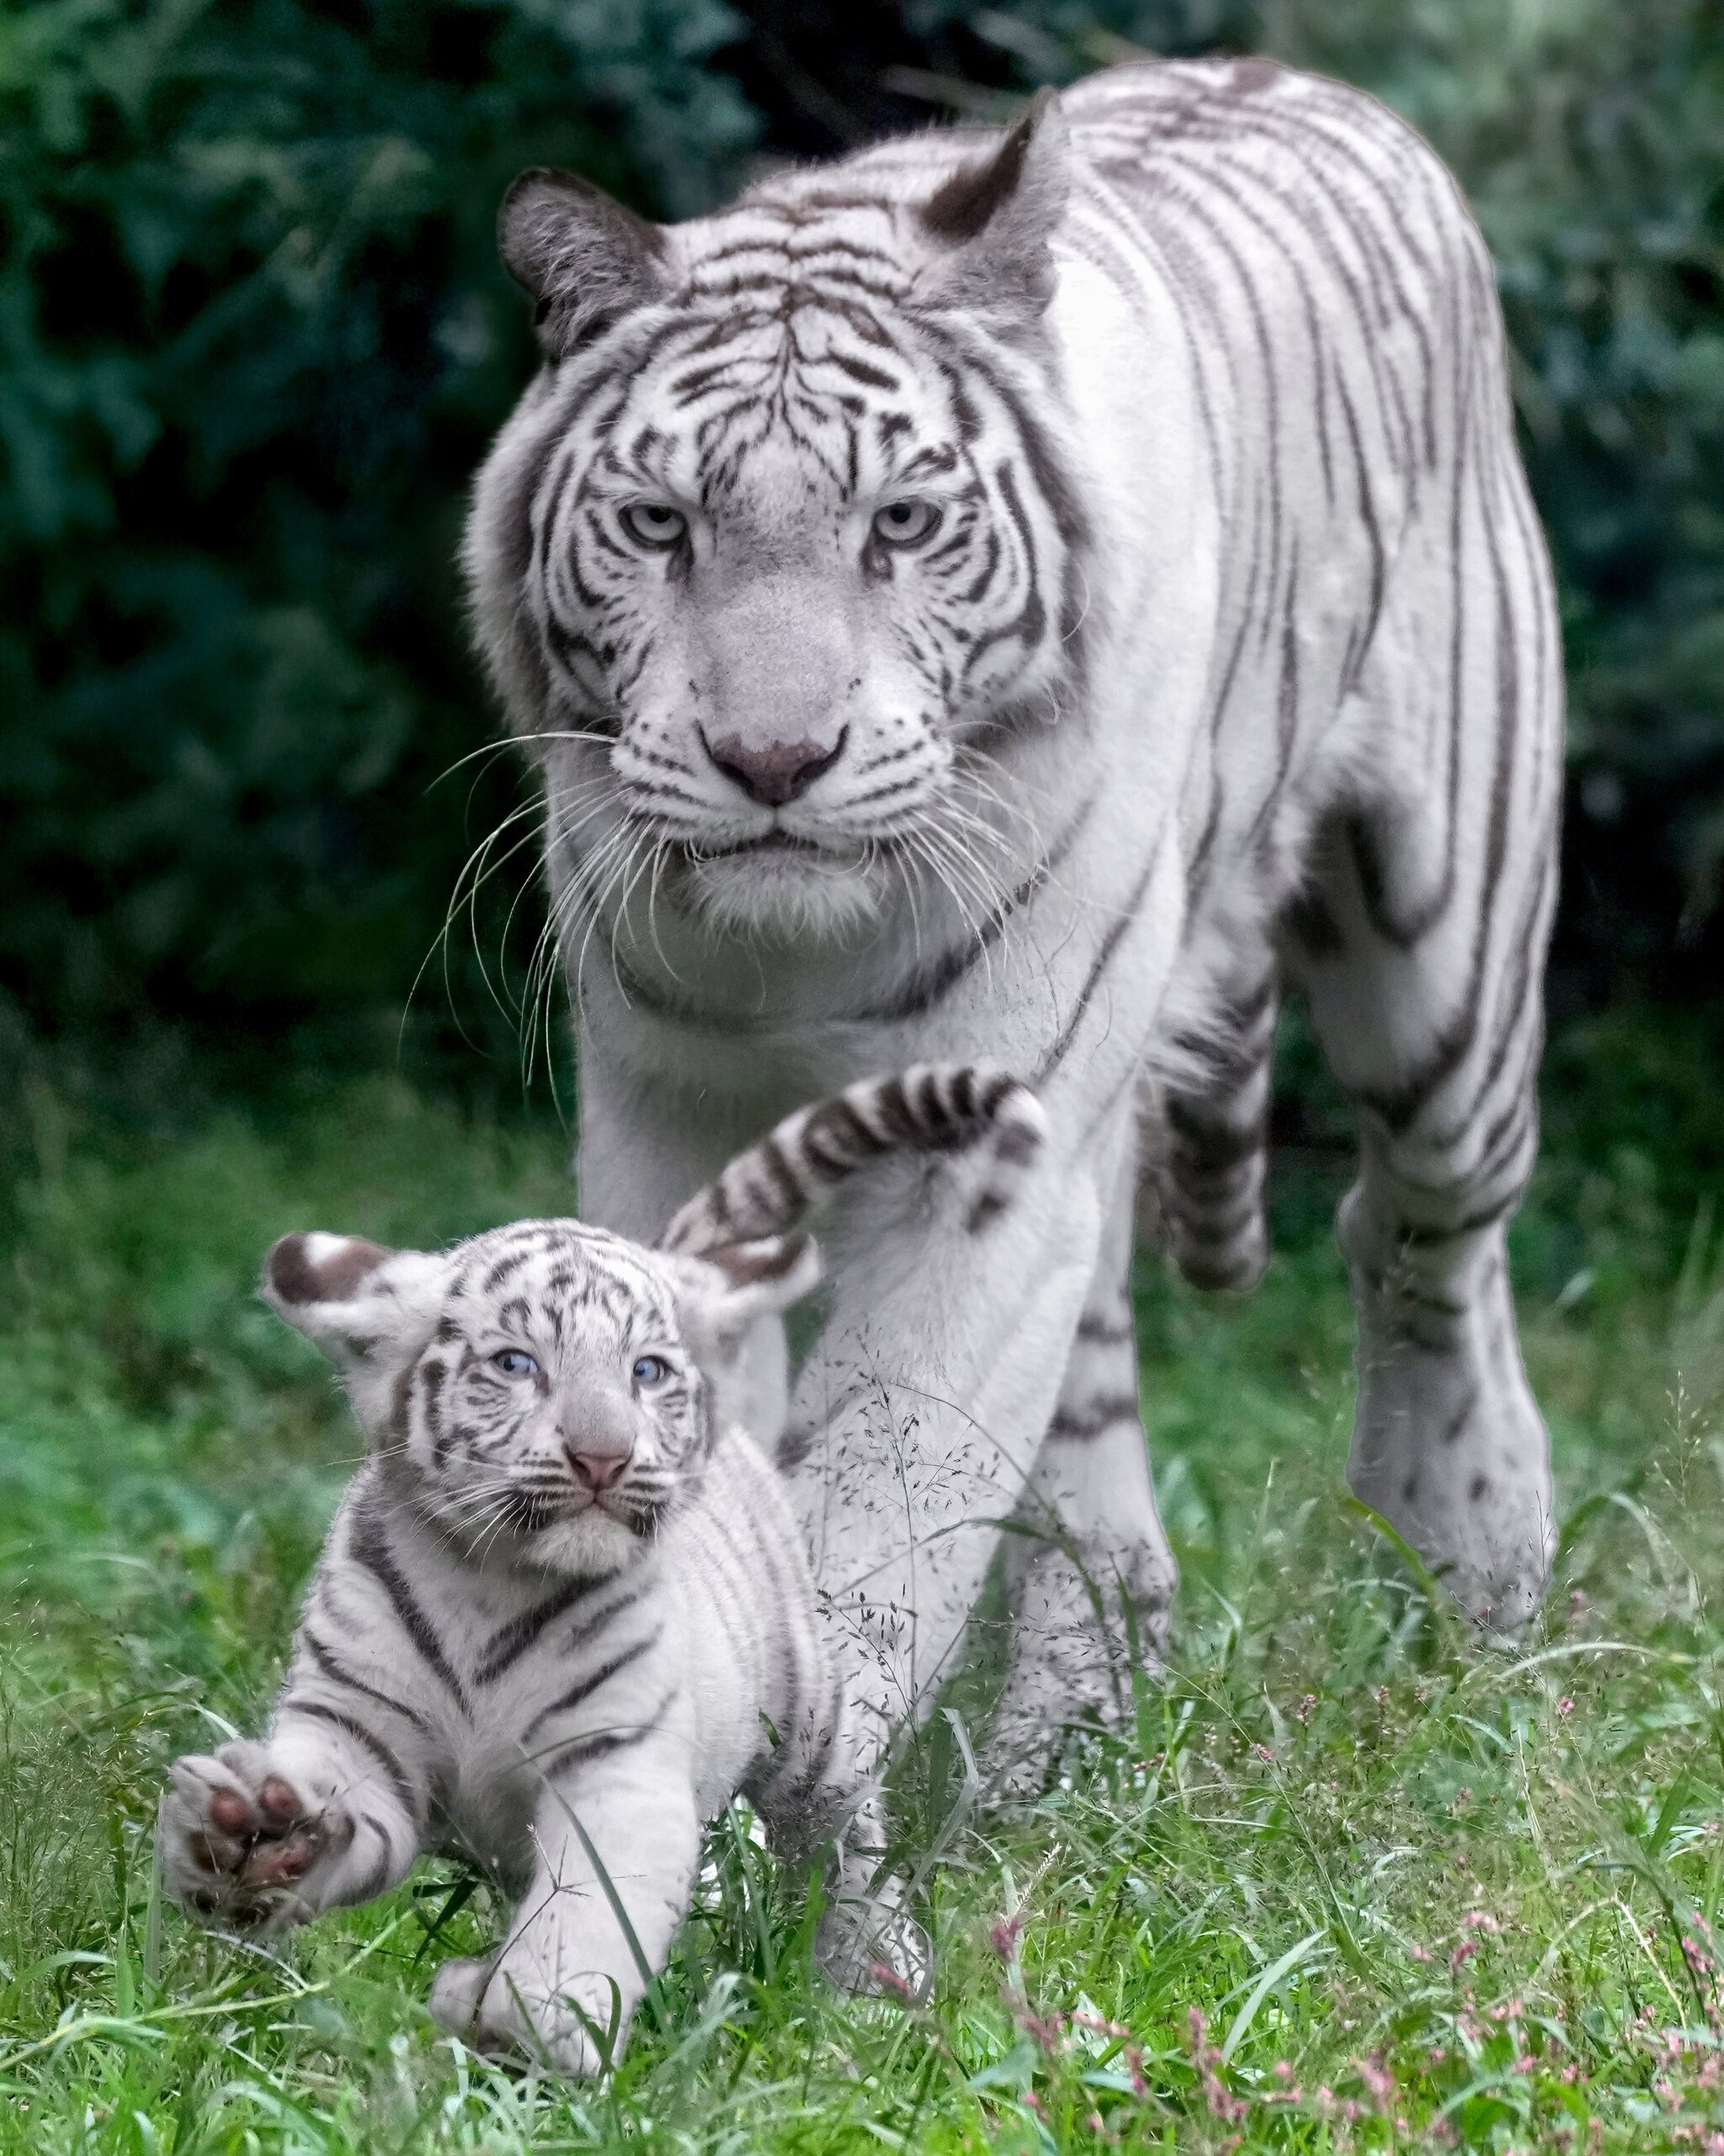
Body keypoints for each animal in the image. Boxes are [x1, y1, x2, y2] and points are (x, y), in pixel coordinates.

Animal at [467, 62, 1560, 1768]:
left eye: (901, 526)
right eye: (657, 528)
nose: (771, 760)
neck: (798, 958)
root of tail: (1320, 88)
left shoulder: (974, 1154)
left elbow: (874, 1506)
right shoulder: (667, 1124)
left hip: (1447, 954)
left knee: (1421, 1237)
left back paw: (1467, 1586)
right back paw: (1074, 1738)